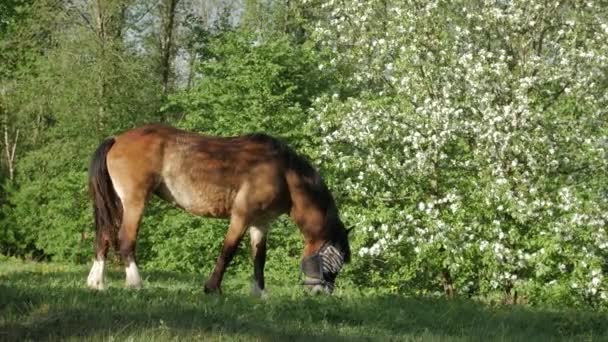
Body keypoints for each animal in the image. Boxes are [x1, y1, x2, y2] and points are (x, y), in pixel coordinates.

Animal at [86, 124, 352, 296]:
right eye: (334, 256)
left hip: (117, 204)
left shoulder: (260, 223)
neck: (282, 172)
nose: (322, 292)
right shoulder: (241, 217)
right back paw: (135, 283)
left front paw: (260, 294)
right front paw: (212, 288)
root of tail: (116, 139)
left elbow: (259, 258)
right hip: (134, 202)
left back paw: (96, 282)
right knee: (125, 239)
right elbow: (228, 251)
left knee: (105, 236)